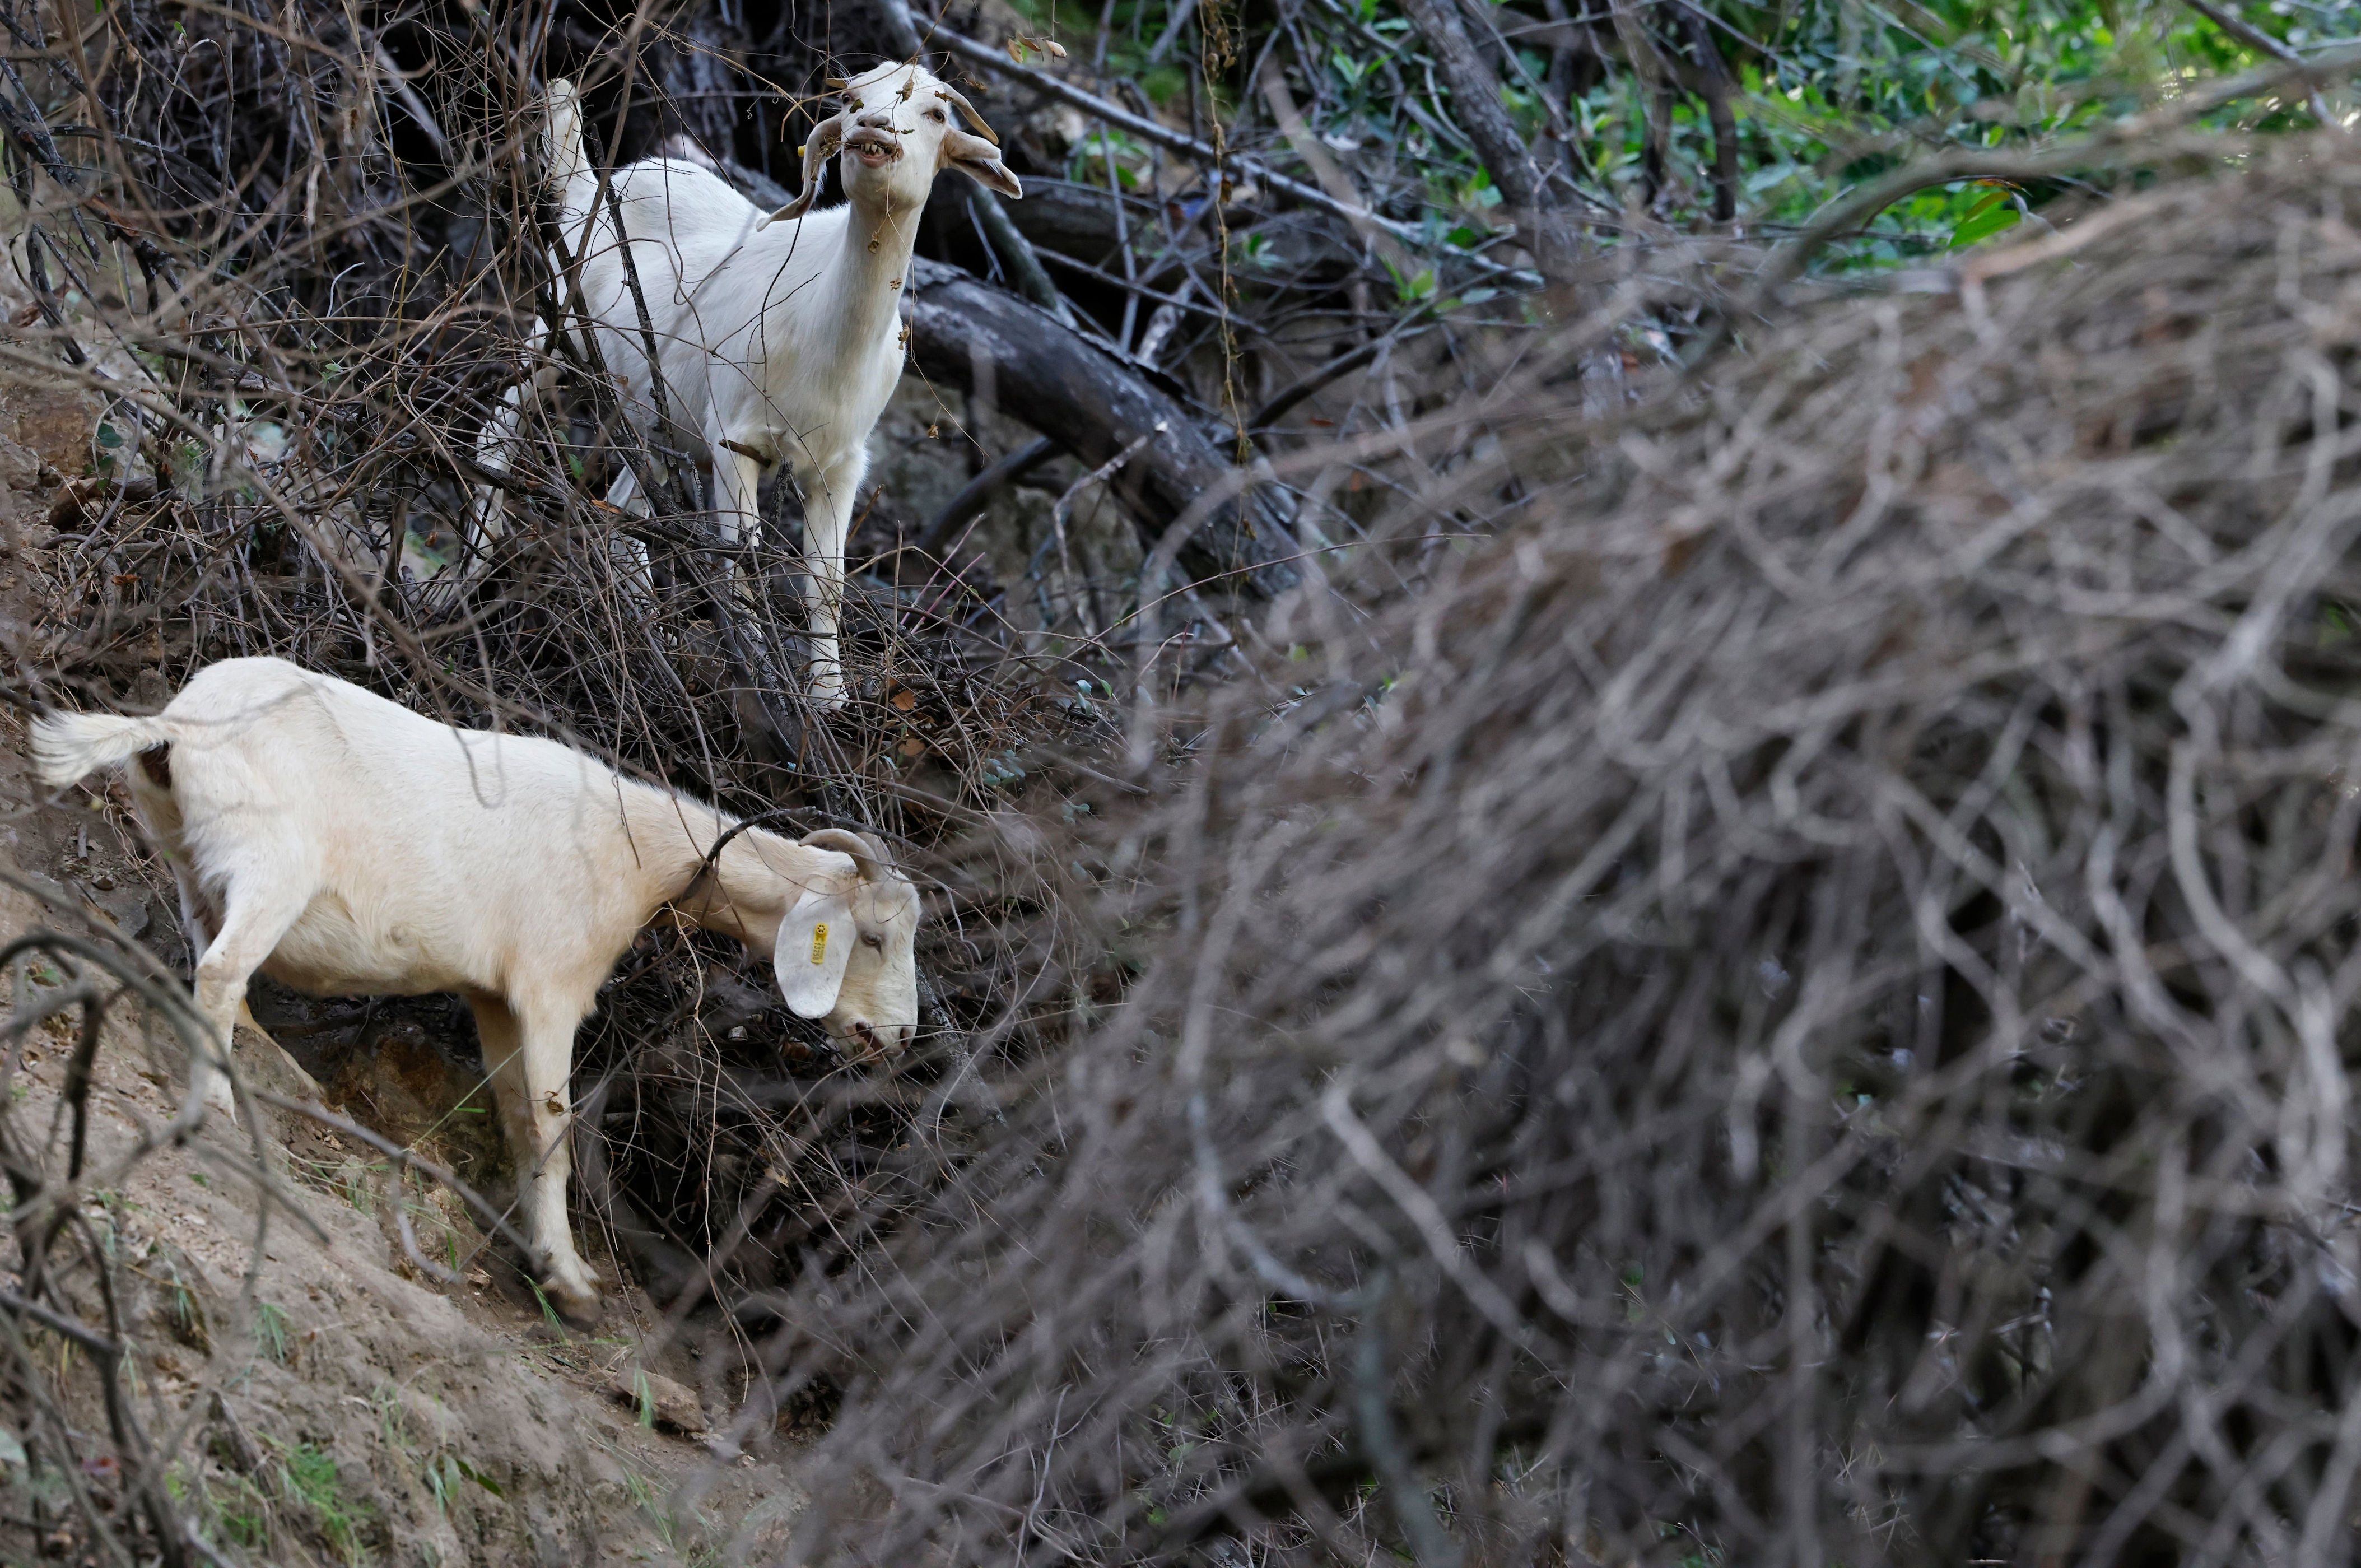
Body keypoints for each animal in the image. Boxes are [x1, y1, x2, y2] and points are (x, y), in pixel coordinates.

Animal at [30, 657, 921, 1318]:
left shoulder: (494, 997)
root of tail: (175, 725)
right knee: (219, 971)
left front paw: (543, 1257)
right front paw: (572, 1280)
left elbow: (519, 1121)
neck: (636, 850)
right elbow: (553, 1128)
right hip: (270, 863)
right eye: (874, 937)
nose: (898, 1037)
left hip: (192, 866)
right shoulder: (553, 986)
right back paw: (218, 1098)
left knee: (213, 964)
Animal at [469, 63, 1021, 708]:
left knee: (626, 515)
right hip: (559, 324)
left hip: (658, 416)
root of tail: (590, 185)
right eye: (850, 99)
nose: (873, 129)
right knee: (498, 433)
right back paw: (460, 582)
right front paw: (765, 686)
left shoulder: (840, 464)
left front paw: (829, 700)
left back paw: (658, 644)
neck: (826, 332)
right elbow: (742, 566)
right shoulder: (736, 440)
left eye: (936, 115)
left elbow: (826, 584)